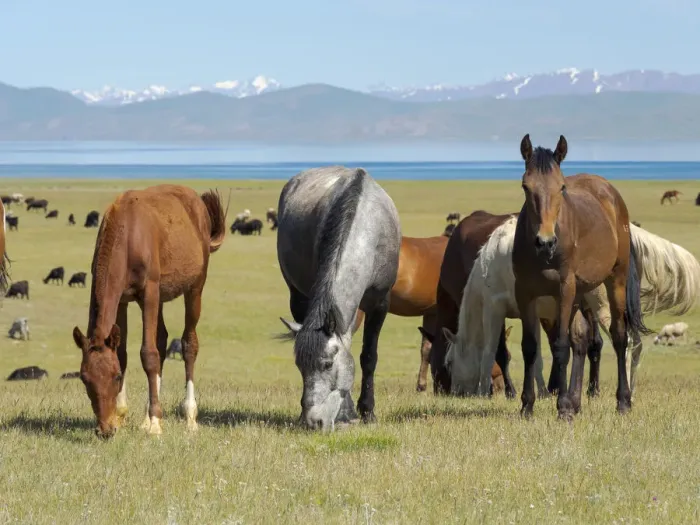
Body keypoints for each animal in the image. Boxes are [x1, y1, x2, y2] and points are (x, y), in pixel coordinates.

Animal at [71, 184, 228, 439]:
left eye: (116, 376)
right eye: (85, 379)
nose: (104, 430)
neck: (128, 235)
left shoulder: (150, 293)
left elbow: (149, 354)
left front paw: (155, 423)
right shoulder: (122, 300)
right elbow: (123, 352)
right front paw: (122, 416)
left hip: (194, 288)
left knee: (189, 344)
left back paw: (189, 416)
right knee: (162, 339)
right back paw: (147, 415)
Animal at [276, 167, 401, 431]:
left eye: (327, 364)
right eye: (299, 367)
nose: (313, 421)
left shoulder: (380, 304)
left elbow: (368, 357)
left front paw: (367, 412)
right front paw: (347, 412)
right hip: (297, 295)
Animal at [513, 134, 651, 420]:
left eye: (561, 187)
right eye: (525, 186)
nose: (545, 242)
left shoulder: (564, 290)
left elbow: (560, 346)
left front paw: (562, 408)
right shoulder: (524, 292)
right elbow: (530, 347)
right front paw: (527, 406)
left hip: (614, 281)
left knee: (619, 336)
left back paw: (623, 401)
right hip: (583, 292)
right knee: (583, 339)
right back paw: (576, 402)